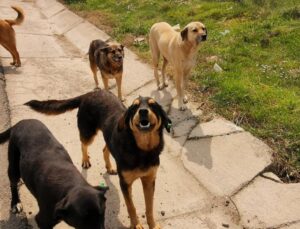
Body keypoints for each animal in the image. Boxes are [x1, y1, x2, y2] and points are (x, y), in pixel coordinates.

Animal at [25, 89, 171, 229]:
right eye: (135, 107)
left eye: (152, 105)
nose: (143, 111)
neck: (142, 150)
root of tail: (89, 93)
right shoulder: (125, 183)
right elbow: (131, 207)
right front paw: (135, 224)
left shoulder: (149, 180)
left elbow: (149, 207)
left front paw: (152, 225)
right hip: (88, 133)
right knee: (83, 144)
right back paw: (85, 160)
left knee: (105, 149)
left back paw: (109, 167)